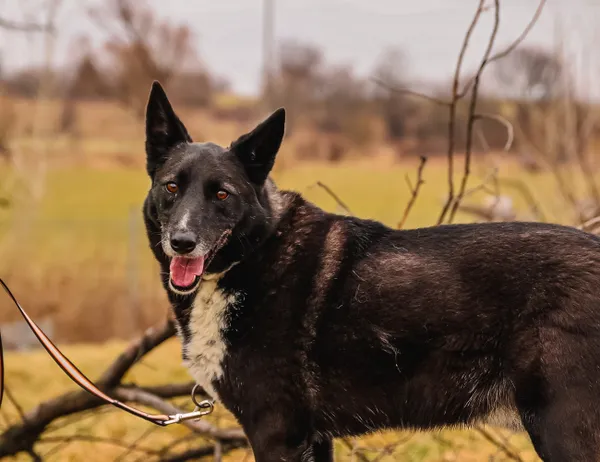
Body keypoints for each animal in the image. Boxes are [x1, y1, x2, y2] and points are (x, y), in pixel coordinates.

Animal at [143, 81, 600, 460]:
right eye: (171, 187)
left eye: (222, 194)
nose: (181, 242)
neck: (257, 256)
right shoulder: (313, 439)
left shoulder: (278, 433)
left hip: (564, 431)